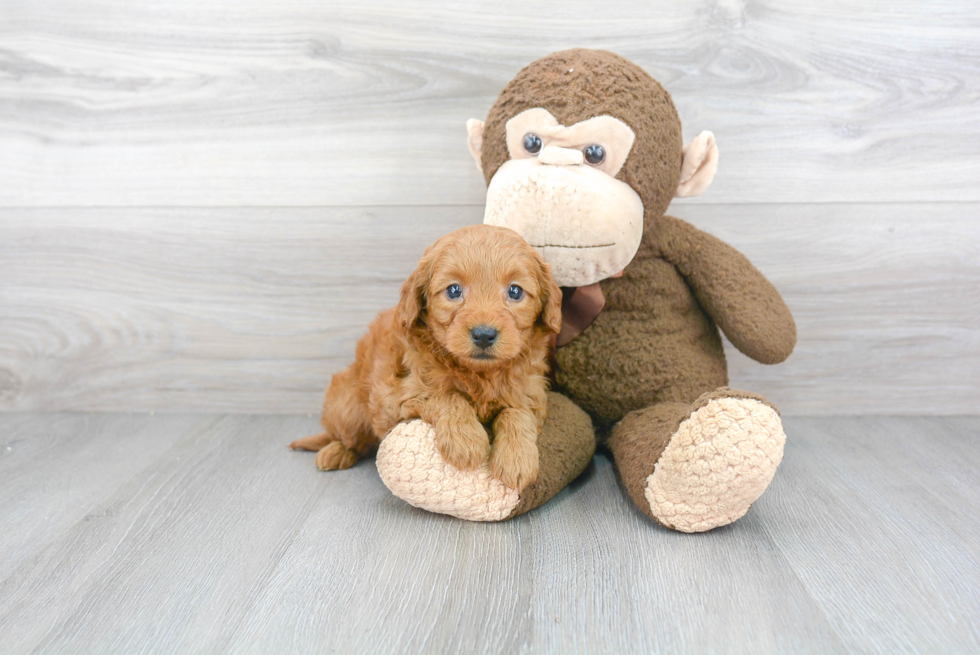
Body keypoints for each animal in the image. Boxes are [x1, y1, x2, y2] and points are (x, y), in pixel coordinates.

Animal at [290, 223, 560, 490]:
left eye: (515, 291)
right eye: (454, 290)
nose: (484, 334)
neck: (478, 374)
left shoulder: (531, 390)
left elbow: (517, 412)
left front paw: (516, 458)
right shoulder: (394, 395)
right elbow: (445, 395)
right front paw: (465, 440)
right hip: (348, 406)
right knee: (348, 436)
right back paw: (334, 452)